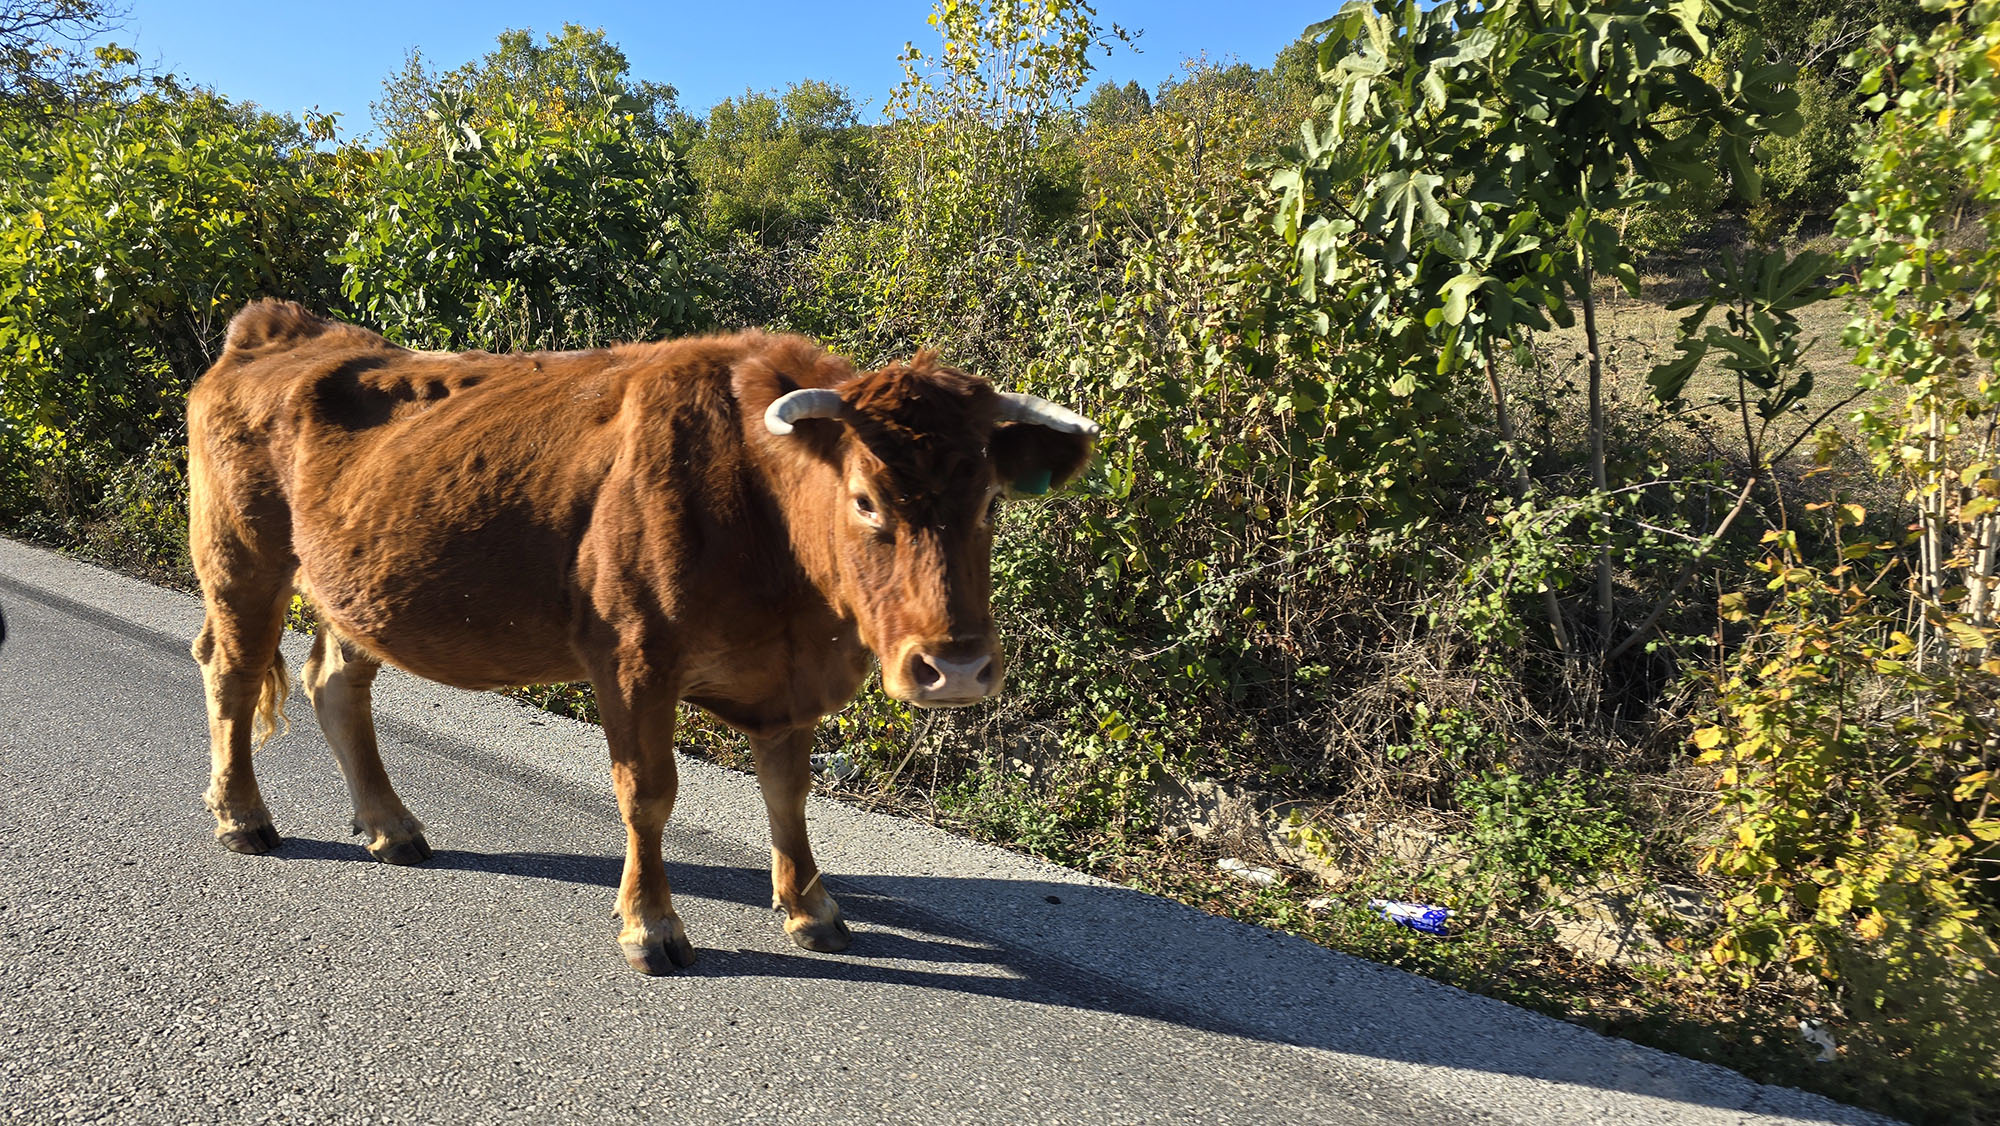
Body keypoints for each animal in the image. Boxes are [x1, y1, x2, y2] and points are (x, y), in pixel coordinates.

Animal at [188, 302, 1096, 980]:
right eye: (867, 499)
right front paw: (652, 926)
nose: (959, 667)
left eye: (990, 502)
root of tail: (281, 329)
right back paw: (242, 817)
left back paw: (391, 828)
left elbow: (788, 796)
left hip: (357, 588)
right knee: (234, 672)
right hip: (242, 557)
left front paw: (810, 906)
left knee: (336, 684)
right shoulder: (633, 661)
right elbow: (648, 795)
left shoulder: (787, 683)